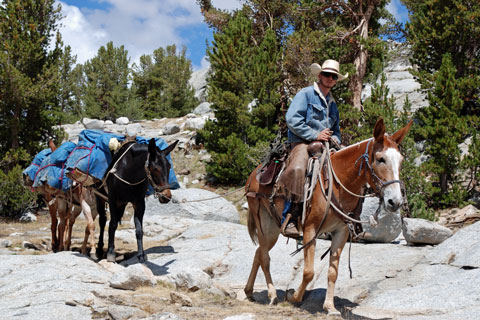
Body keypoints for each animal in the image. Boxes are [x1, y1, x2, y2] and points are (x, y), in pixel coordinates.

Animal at [244, 118, 412, 316]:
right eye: (380, 159)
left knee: (259, 252)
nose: (395, 201)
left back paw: (249, 291)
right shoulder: (310, 230)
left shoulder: (341, 232)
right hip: (264, 223)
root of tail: (255, 173)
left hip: (273, 228)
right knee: (264, 257)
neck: (337, 185)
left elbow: (333, 272)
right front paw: (293, 297)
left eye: (400, 161)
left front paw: (330, 307)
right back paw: (271, 295)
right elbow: (308, 272)